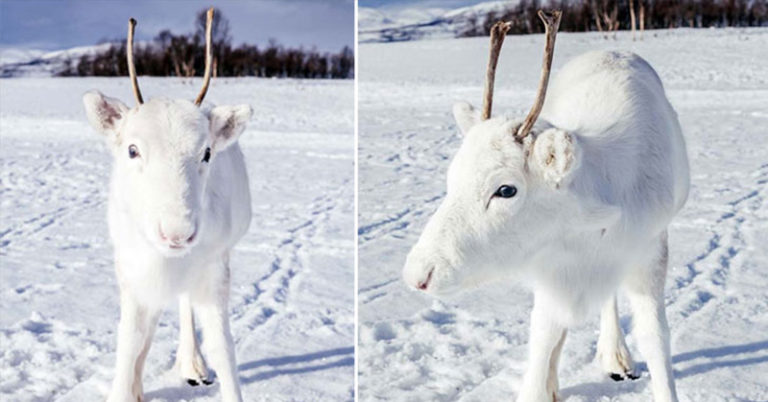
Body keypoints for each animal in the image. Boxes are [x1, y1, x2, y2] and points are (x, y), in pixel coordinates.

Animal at [82, 9, 252, 402]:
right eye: (132, 149)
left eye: (207, 152)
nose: (177, 233)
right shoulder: (131, 269)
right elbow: (130, 341)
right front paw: (127, 389)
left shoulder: (214, 268)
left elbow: (224, 349)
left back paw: (192, 364)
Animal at [402, 10, 689, 402]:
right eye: (452, 176)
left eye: (506, 190)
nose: (419, 274)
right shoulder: (550, 267)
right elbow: (543, 336)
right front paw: (543, 385)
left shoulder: (649, 250)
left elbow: (656, 339)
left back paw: (615, 356)